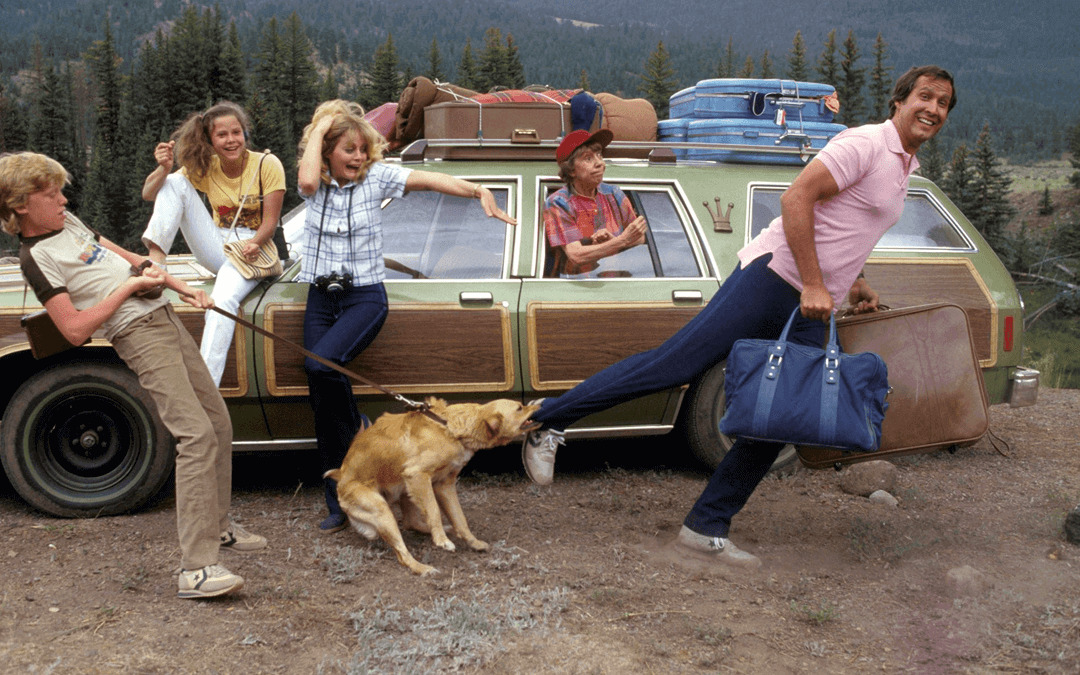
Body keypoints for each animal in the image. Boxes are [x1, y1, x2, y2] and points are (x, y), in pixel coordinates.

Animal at [321, 397, 537, 574]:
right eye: (519, 408)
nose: (539, 404)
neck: (450, 427)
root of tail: (341, 477)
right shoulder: (417, 475)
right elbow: (433, 512)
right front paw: (441, 541)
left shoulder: (444, 485)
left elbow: (460, 518)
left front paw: (472, 542)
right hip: (382, 509)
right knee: (402, 554)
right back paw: (423, 568)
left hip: (404, 490)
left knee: (411, 522)